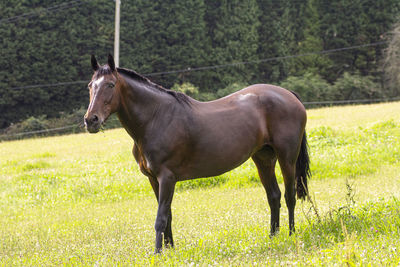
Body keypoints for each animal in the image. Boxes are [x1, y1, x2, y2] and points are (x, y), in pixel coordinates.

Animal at [83, 54, 310, 253]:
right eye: (90, 86)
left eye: (110, 85)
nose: (91, 120)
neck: (156, 118)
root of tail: (289, 94)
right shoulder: (153, 179)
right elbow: (168, 216)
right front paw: (170, 249)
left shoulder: (167, 178)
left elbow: (160, 218)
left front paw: (157, 253)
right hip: (263, 159)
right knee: (274, 196)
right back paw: (273, 236)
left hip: (287, 158)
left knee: (289, 196)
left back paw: (291, 235)